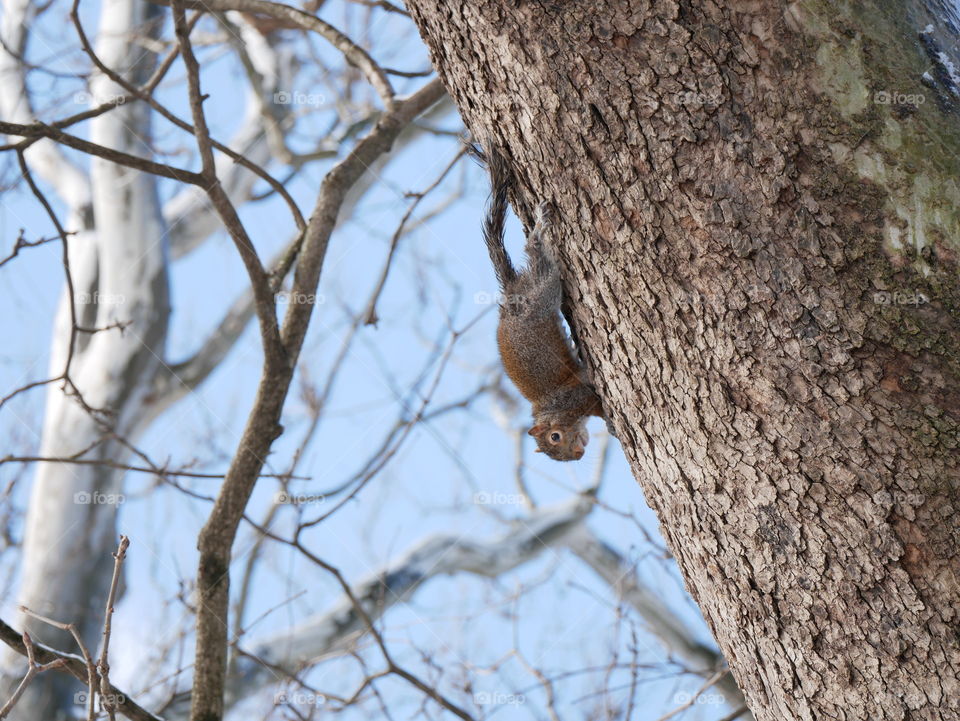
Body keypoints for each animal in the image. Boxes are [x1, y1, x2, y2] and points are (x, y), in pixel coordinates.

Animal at [468, 139, 604, 462]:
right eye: (555, 446)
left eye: (555, 437)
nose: (577, 453)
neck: (551, 411)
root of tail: (510, 294)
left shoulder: (576, 397)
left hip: (542, 294)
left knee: (537, 254)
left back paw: (540, 225)